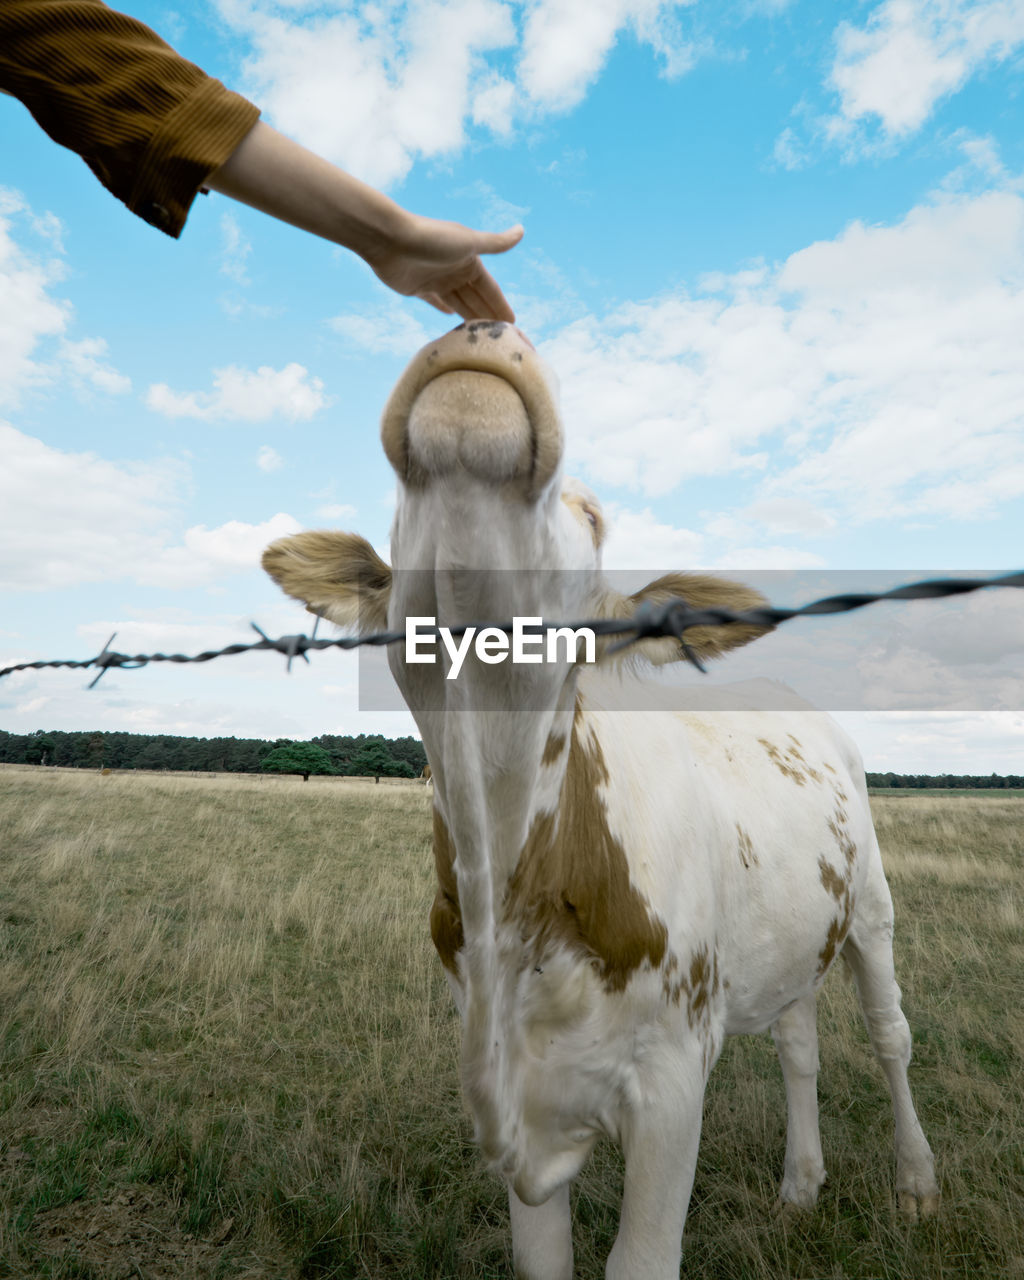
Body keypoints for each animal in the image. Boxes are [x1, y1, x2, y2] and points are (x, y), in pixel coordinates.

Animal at [262, 320, 936, 1280]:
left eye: (592, 516)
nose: (477, 325)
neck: (522, 894)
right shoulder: (519, 1091)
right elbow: (543, 1260)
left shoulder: (673, 1085)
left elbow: (641, 1259)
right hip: (791, 922)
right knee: (798, 1041)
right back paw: (801, 1185)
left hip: (872, 901)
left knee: (890, 1035)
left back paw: (915, 1181)